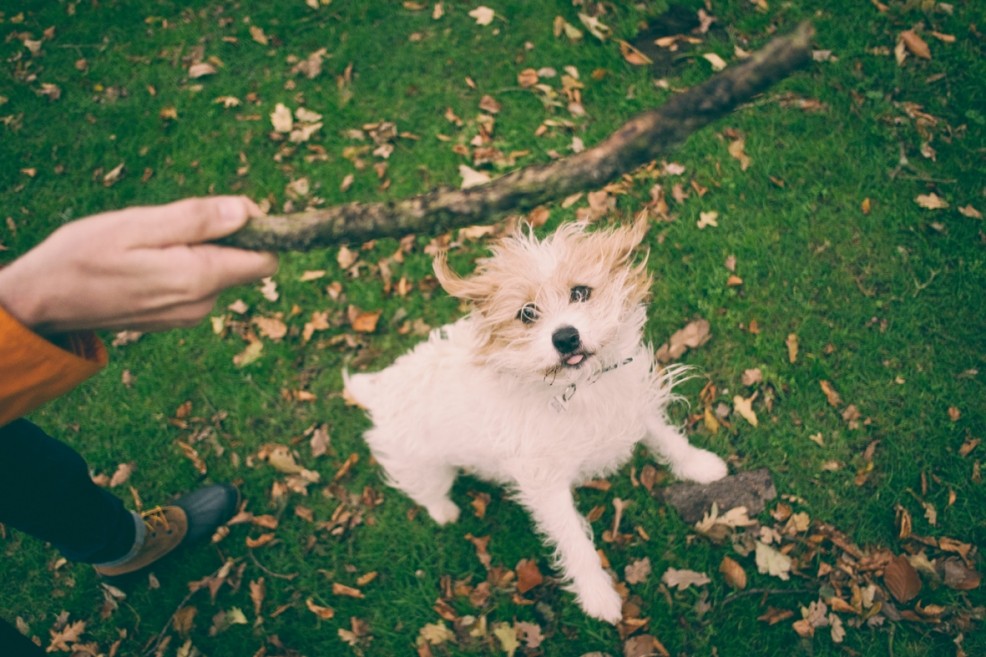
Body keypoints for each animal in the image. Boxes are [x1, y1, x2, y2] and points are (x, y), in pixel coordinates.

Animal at [342, 219, 728, 620]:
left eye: (580, 292)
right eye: (527, 313)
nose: (566, 337)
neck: (577, 388)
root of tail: (383, 388)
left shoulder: (634, 406)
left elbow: (669, 440)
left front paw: (700, 466)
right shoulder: (546, 485)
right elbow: (575, 544)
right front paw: (597, 595)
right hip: (422, 466)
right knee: (428, 491)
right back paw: (444, 510)